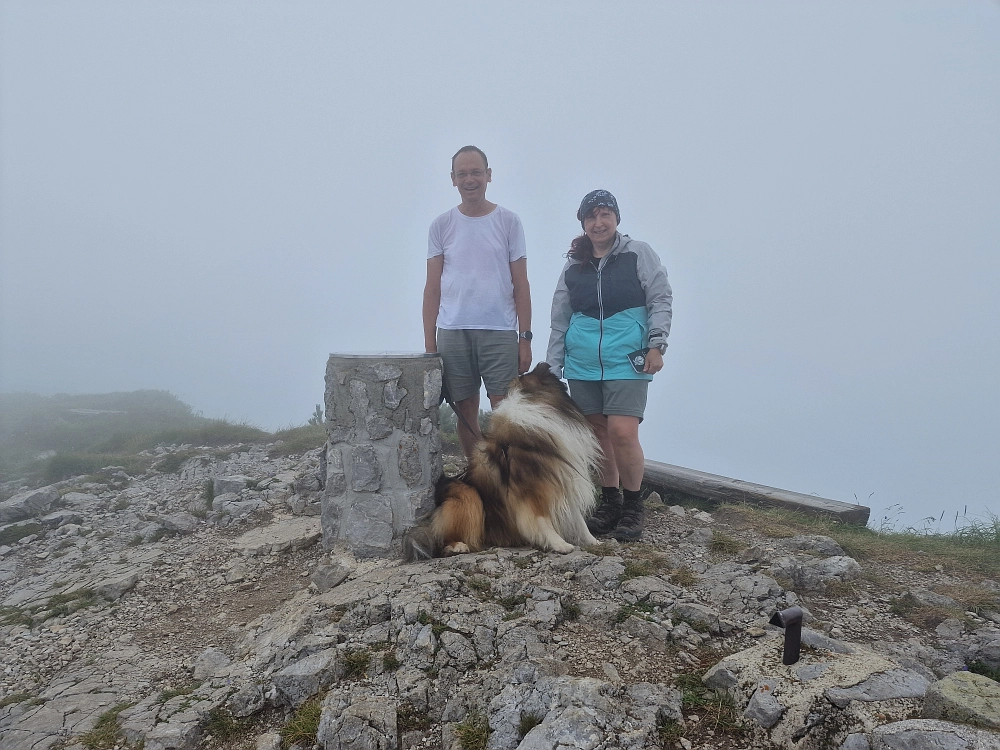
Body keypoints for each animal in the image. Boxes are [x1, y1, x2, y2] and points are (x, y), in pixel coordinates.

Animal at [400, 362, 600, 560]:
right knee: (443, 539)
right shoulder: (532, 490)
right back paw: (458, 546)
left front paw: (593, 541)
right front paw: (560, 544)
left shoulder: (564, 479)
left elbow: (578, 519)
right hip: (467, 495)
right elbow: (542, 520)